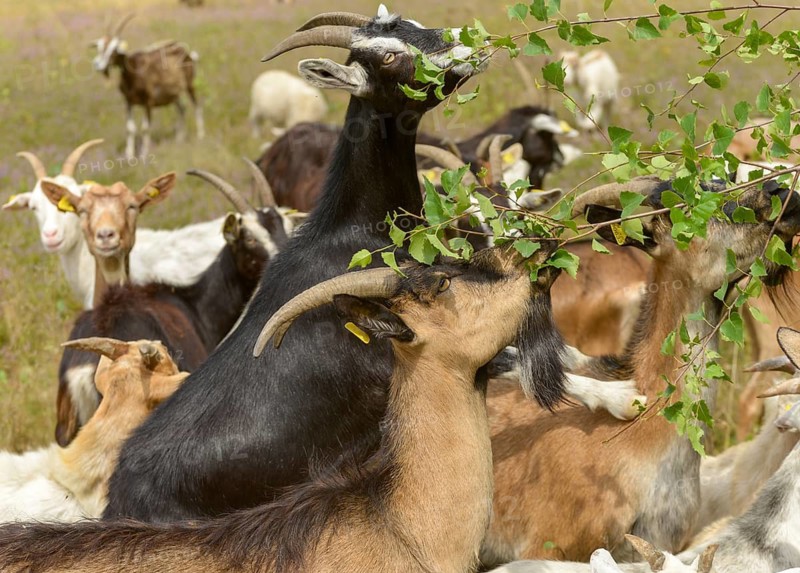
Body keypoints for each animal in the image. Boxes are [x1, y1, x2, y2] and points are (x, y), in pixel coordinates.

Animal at [91, 15, 204, 159]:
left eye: (114, 49)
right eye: (99, 47)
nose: (98, 64)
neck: (134, 74)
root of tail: (185, 51)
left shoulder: (148, 101)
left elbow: (145, 128)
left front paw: (144, 155)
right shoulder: (128, 102)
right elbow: (130, 128)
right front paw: (129, 155)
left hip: (190, 84)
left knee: (197, 105)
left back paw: (201, 135)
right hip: (173, 94)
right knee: (182, 108)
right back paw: (179, 139)